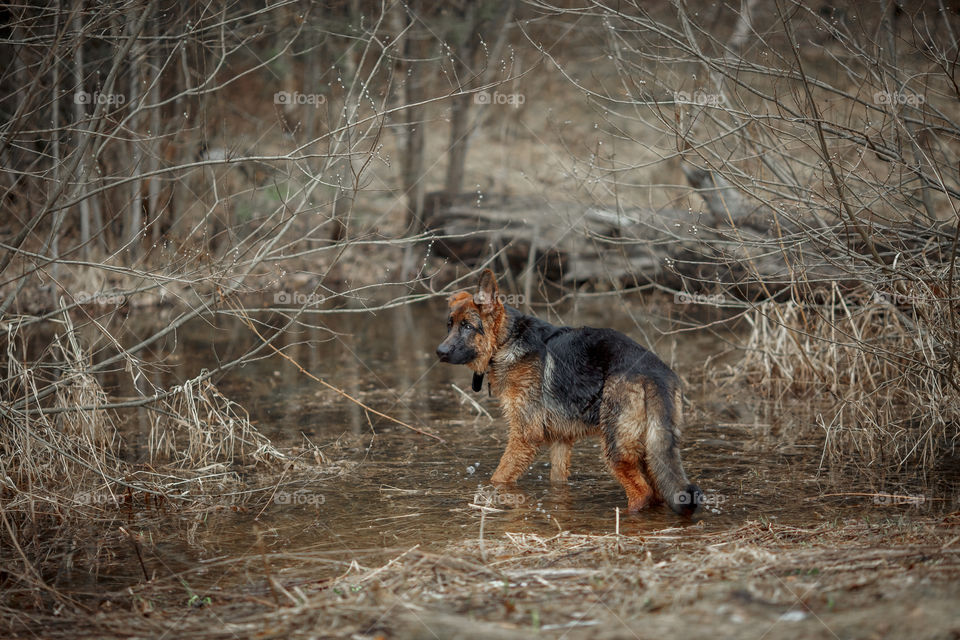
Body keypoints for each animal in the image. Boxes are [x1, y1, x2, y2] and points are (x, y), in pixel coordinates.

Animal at [438, 268, 700, 516]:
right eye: (449, 325)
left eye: (467, 326)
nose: (439, 352)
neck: (506, 340)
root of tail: (654, 372)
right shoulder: (561, 440)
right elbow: (558, 479)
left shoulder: (524, 436)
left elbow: (499, 476)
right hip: (650, 451)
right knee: (657, 493)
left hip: (616, 447)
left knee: (642, 493)